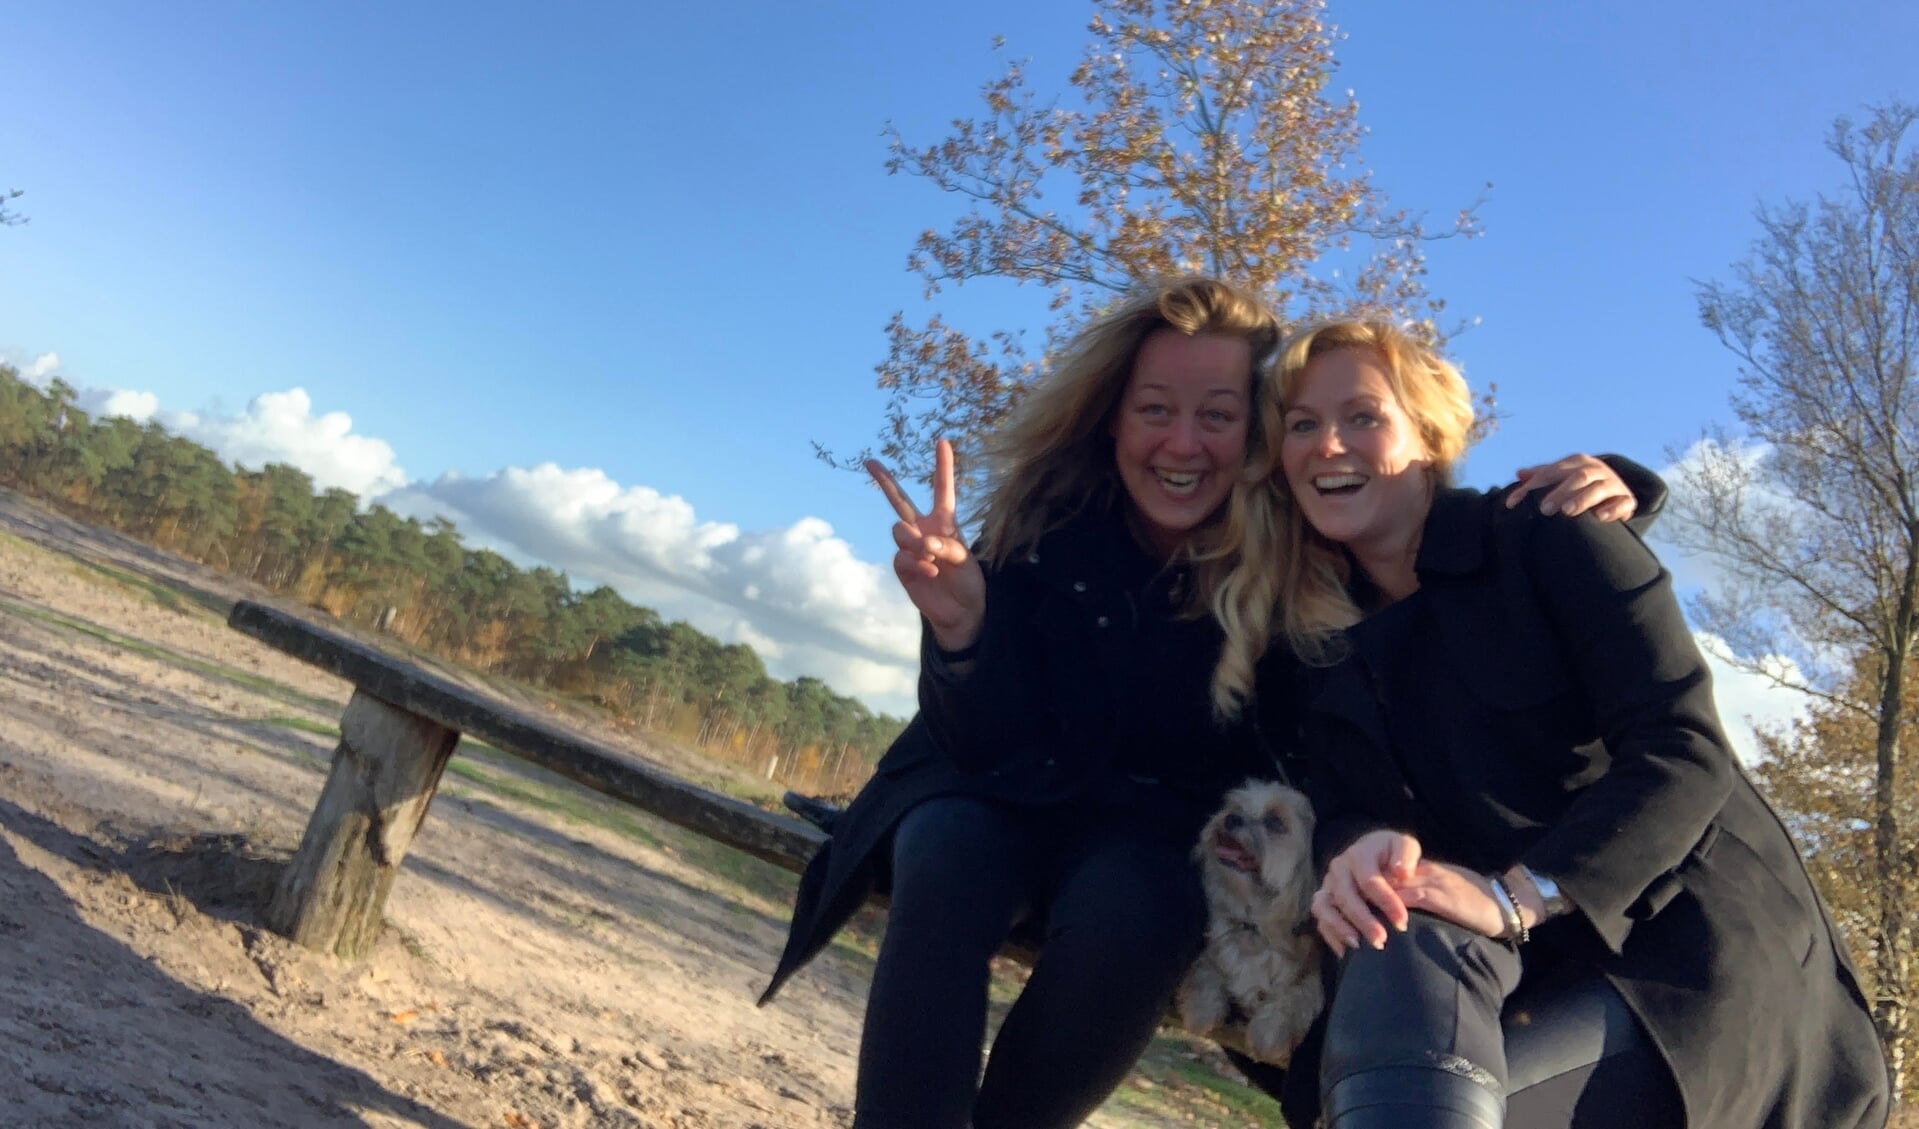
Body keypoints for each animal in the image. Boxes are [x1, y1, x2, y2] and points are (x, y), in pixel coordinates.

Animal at [1174, 779, 1327, 1059]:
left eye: (1275, 822)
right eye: (1235, 807)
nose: (1231, 818)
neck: (1254, 922)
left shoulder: (1311, 978)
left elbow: (1294, 998)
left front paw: (1268, 1034)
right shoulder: (1214, 952)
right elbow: (1206, 971)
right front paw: (1201, 1010)